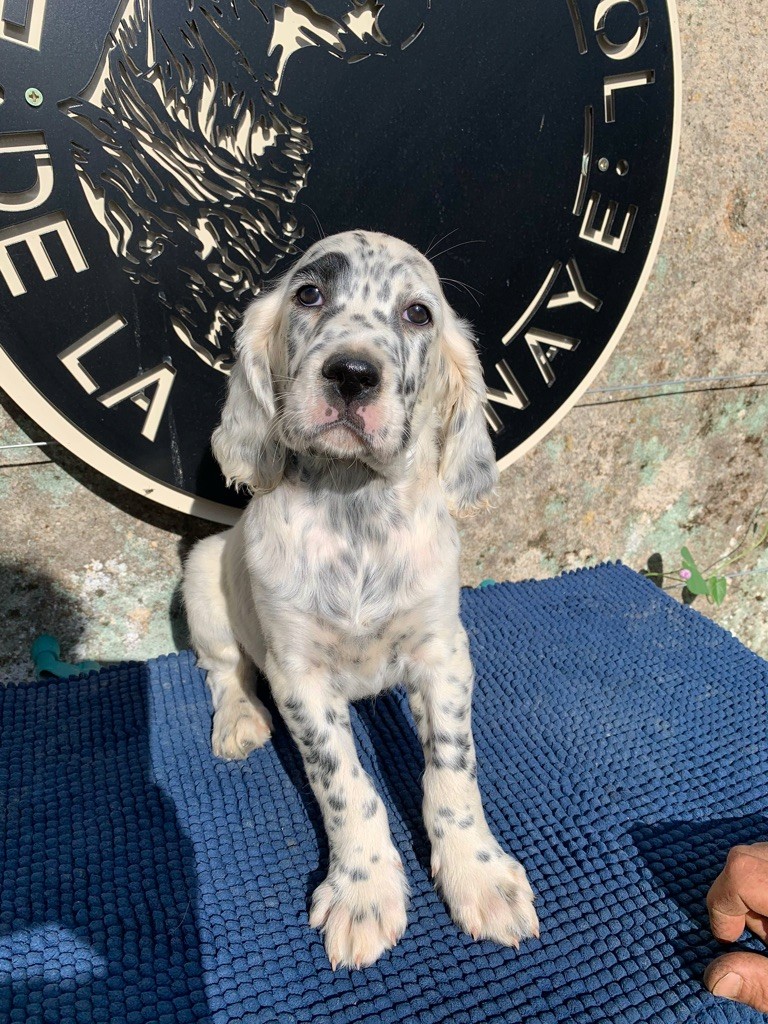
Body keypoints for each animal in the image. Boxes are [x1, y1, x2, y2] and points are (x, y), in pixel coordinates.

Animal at [183, 230, 538, 969]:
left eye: (418, 313)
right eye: (309, 294)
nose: (351, 374)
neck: (355, 508)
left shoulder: (442, 653)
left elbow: (452, 773)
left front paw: (480, 876)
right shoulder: (299, 675)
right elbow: (347, 787)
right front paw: (363, 892)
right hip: (203, 574)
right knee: (222, 669)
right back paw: (238, 721)